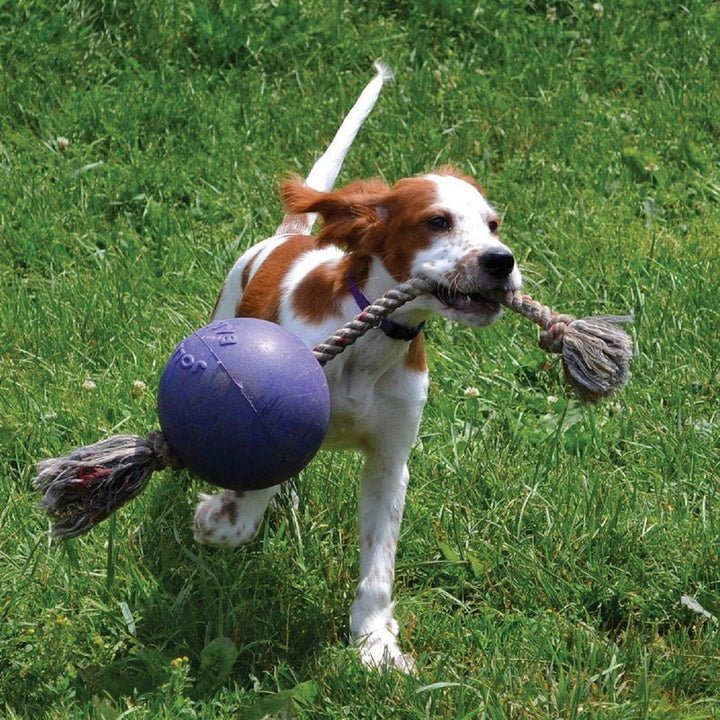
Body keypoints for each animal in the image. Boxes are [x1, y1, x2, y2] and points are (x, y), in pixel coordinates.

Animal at [191, 64, 520, 672]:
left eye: (493, 224)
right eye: (437, 221)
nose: (501, 261)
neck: (367, 346)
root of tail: (288, 237)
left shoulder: (391, 461)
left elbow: (379, 565)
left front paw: (374, 642)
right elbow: (249, 497)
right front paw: (221, 519)